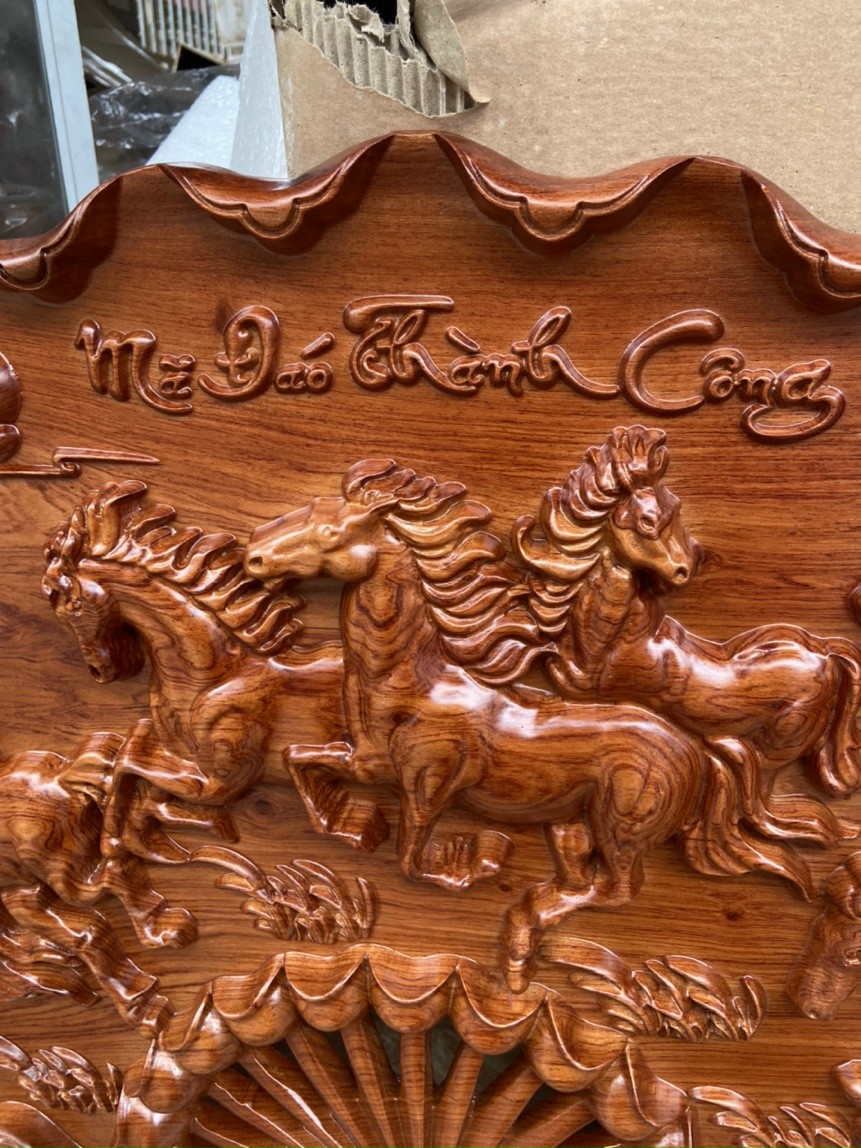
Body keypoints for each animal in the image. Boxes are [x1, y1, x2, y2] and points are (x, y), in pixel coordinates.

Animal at [43, 480, 387, 863]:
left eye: (72, 605)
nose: (100, 670)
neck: (213, 676)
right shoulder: (169, 747)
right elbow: (132, 753)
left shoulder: (223, 781)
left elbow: (129, 768)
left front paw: (118, 843)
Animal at [244, 460, 836, 990]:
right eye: (308, 509)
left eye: (329, 532)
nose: (254, 553)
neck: (411, 683)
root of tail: (694, 750)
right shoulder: (366, 762)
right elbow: (300, 759)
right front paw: (347, 824)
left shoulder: (427, 787)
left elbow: (411, 861)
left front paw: (471, 864)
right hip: (570, 826)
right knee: (580, 882)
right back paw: (521, 942)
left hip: (621, 829)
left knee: (617, 889)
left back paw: (520, 935)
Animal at [514, 425, 861, 830]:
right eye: (649, 522)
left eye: (675, 509)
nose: (687, 566)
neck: (615, 639)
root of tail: (826, 656)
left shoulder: (591, 685)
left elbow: (555, 667)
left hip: (782, 742)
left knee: (763, 802)